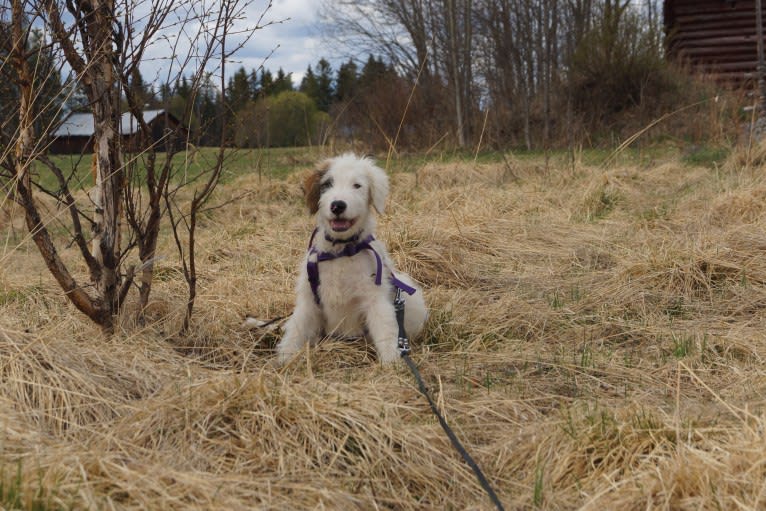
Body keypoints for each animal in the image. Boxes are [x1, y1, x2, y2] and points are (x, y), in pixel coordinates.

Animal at [280, 152, 428, 364]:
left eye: (357, 185)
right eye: (328, 184)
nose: (337, 205)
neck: (341, 251)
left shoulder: (375, 298)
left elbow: (385, 330)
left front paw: (392, 363)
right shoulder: (308, 301)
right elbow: (296, 329)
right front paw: (285, 358)